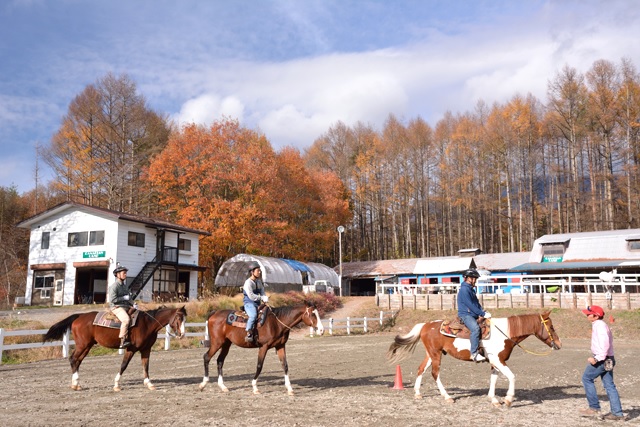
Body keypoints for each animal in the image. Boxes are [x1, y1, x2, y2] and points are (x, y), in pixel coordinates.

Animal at [43, 306, 185, 392]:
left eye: (184, 319)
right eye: (179, 318)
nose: (182, 334)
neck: (147, 324)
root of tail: (78, 316)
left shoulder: (146, 349)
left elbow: (146, 366)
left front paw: (149, 384)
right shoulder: (130, 349)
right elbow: (124, 365)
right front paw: (116, 385)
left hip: (87, 346)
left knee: (78, 360)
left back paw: (76, 384)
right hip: (82, 345)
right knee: (73, 359)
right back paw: (75, 384)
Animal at [384, 310, 560, 408]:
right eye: (551, 327)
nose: (559, 344)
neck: (504, 333)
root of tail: (426, 325)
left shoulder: (495, 362)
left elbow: (494, 379)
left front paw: (494, 400)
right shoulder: (498, 361)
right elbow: (511, 376)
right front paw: (508, 399)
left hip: (431, 353)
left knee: (421, 369)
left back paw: (417, 393)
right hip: (436, 354)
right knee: (435, 373)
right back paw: (447, 397)